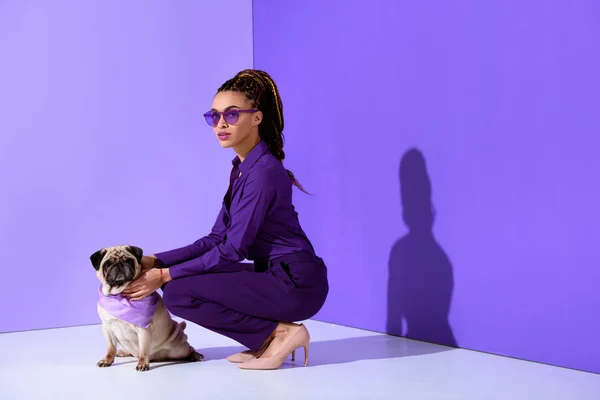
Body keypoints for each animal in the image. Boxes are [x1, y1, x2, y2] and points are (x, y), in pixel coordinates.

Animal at [88, 244, 202, 372]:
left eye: (128, 261)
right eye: (108, 264)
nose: (119, 265)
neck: (120, 294)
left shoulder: (143, 330)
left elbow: (143, 349)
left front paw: (142, 364)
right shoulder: (107, 327)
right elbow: (110, 348)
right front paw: (107, 360)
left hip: (178, 349)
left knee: (189, 349)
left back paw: (195, 355)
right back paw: (123, 352)